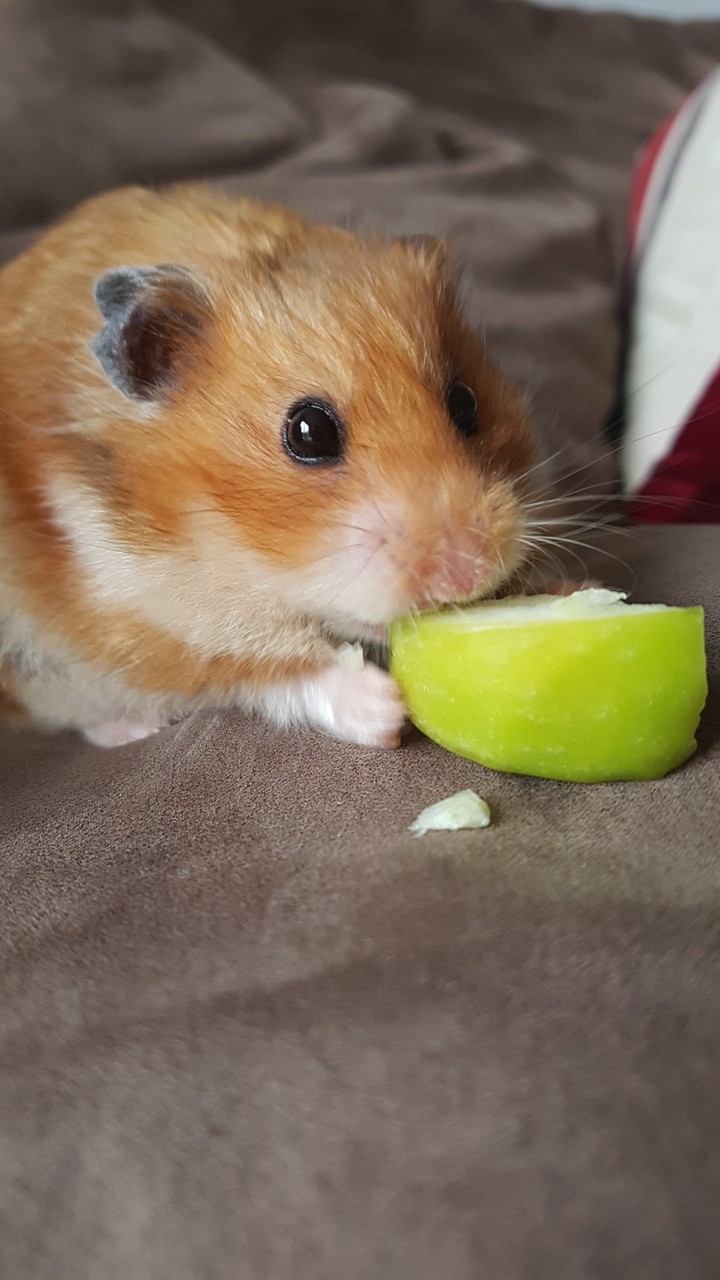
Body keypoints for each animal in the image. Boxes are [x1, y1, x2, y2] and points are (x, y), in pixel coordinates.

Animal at [0, 183, 537, 749]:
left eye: (465, 403)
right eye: (309, 432)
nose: (468, 574)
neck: (212, 535)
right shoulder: (151, 614)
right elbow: (272, 669)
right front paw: (388, 711)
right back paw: (136, 728)